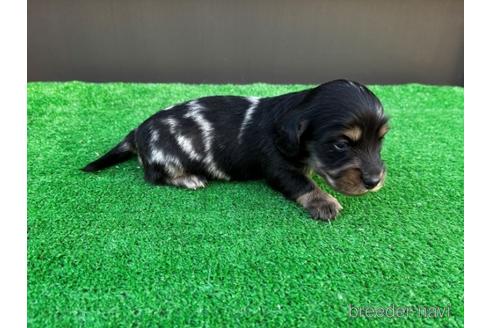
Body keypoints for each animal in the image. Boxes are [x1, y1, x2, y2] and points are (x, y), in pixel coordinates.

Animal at [82, 79, 388, 220]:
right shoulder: (278, 167)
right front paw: (323, 202)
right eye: (340, 144)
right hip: (166, 157)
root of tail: (138, 131)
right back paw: (188, 179)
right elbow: (302, 183)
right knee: (154, 177)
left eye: (381, 140)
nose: (374, 181)